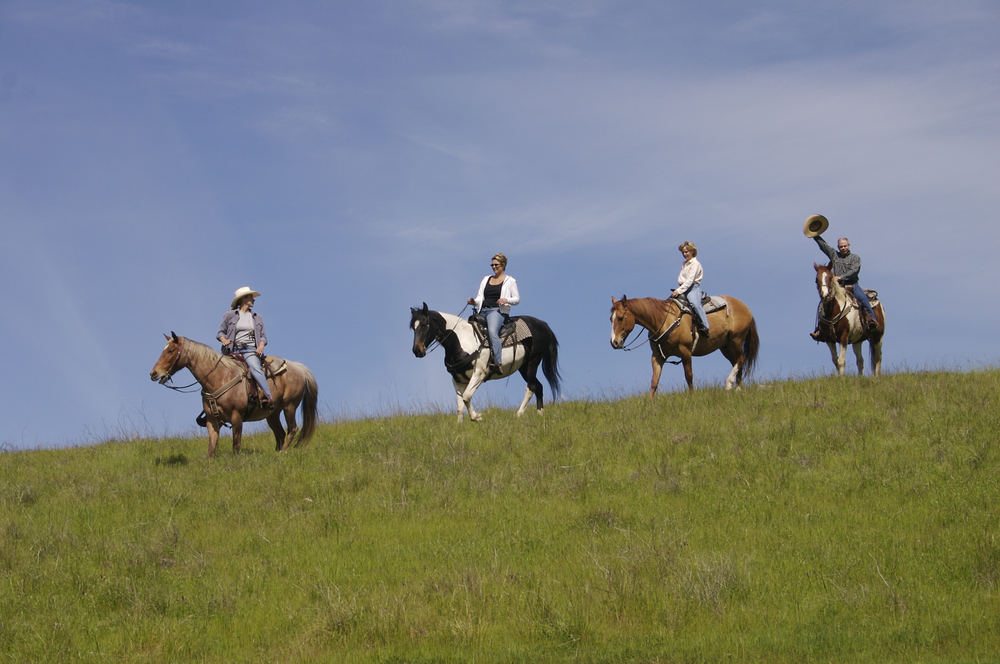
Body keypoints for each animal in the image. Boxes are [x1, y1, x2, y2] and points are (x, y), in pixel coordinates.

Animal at [149, 332, 316, 456]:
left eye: (170, 351)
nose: (154, 373)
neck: (219, 377)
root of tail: (298, 367)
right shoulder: (212, 420)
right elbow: (211, 449)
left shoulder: (237, 418)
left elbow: (236, 447)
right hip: (272, 413)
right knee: (280, 433)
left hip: (289, 406)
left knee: (292, 429)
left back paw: (283, 453)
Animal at [408, 304, 564, 422]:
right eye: (413, 327)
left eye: (424, 324)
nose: (417, 350)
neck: (461, 340)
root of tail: (543, 325)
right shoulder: (457, 379)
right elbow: (460, 406)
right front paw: (459, 426)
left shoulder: (479, 374)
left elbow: (466, 397)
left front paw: (477, 417)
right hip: (523, 367)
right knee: (539, 386)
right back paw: (540, 413)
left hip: (533, 362)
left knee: (531, 386)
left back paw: (519, 414)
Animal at [608, 294, 756, 396]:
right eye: (611, 319)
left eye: (620, 318)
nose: (614, 342)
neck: (664, 321)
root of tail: (745, 307)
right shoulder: (658, 356)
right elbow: (654, 381)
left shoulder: (685, 352)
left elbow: (689, 376)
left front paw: (692, 396)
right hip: (725, 346)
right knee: (738, 362)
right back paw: (738, 388)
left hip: (736, 340)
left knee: (741, 359)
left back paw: (729, 385)